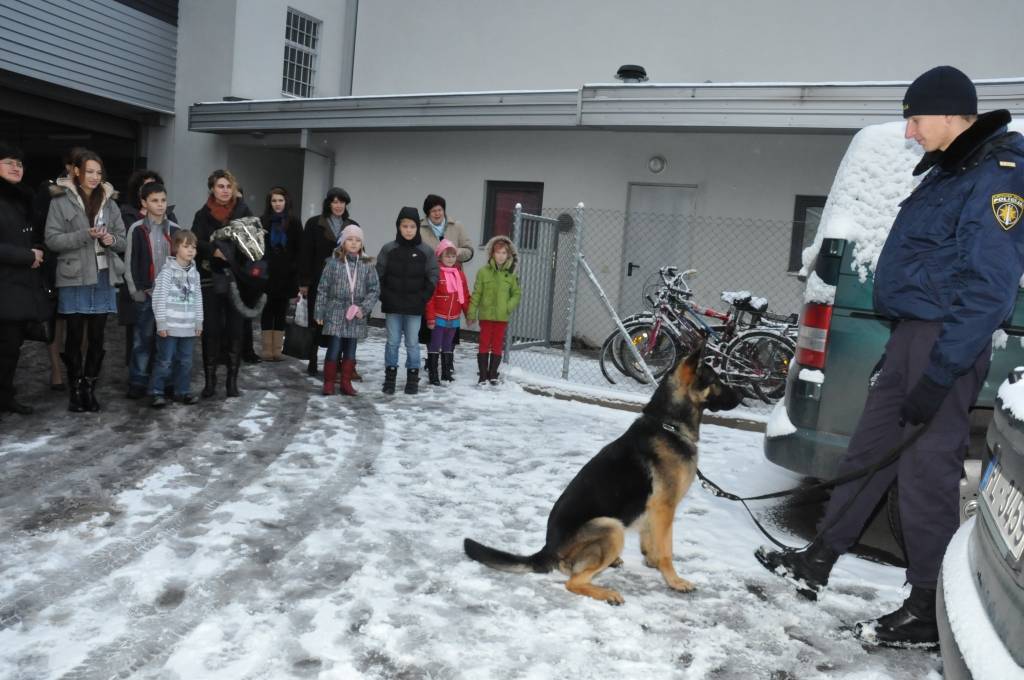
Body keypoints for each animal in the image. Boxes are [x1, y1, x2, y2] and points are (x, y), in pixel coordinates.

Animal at [466, 346, 745, 606]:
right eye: (716, 380)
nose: (743, 395)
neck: (668, 424)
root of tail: (547, 549)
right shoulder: (665, 507)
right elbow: (667, 550)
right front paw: (674, 580)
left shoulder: (653, 510)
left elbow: (651, 542)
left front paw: (653, 562)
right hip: (611, 527)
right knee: (572, 581)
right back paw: (607, 593)